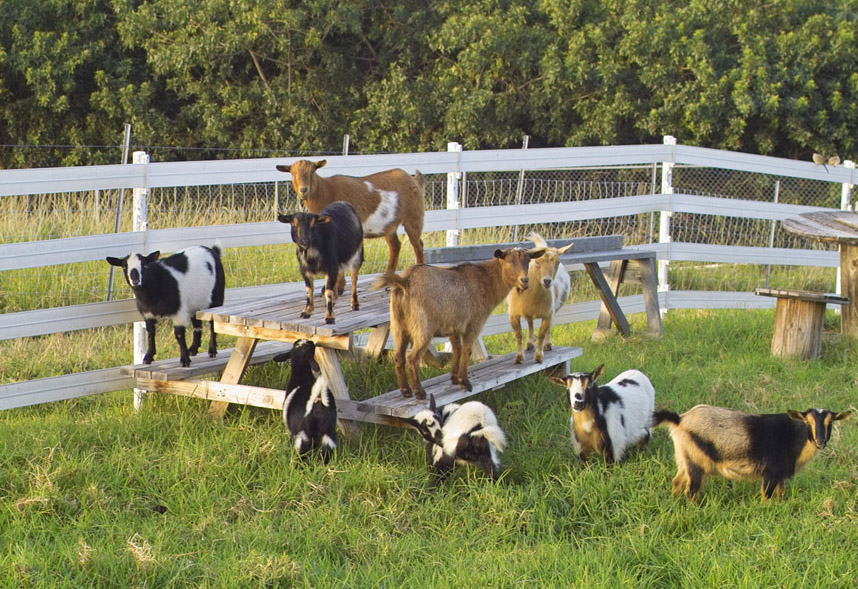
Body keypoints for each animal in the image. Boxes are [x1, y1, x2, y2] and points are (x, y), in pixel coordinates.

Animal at [274, 158, 424, 276]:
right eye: (292, 173)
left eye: (312, 172)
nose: (304, 190)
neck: (326, 190)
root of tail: (413, 179)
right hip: (388, 225)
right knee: (395, 246)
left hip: (414, 216)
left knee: (418, 245)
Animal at [372, 243, 544, 400]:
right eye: (509, 261)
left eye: (528, 261)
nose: (525, 281)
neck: (485, 281)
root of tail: (404, 281)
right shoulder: (473, 324)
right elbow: (466, 350)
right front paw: (465, 382)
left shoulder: (453, 326)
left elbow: (457, 349)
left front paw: (454, 378)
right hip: (423, 327)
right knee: (412, 358)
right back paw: (419, 392)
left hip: (398, 325)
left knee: (399, 357)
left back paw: (406, 390)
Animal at [504, 231, 572, 362]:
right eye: (536, 262)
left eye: (557, 263)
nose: (547, 281)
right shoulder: (513, 313)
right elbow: (519, 334)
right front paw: (519, 357)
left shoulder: (547, 314)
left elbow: (542, 334)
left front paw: (539, 356)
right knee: (530, 322)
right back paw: (530, 343)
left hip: (554, 309)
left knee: (546, 327)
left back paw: (547, 344)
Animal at [652, 404, 844, 500]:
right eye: (807, 422)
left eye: (830, 423)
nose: (821, 441)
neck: (793, 436)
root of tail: (680, 419)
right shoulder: (770, 473)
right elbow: (766, 496)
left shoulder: (779, 475)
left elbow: (780, 494)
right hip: (696, 461)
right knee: (691, 490)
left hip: (684, 456)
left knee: (677, 481)